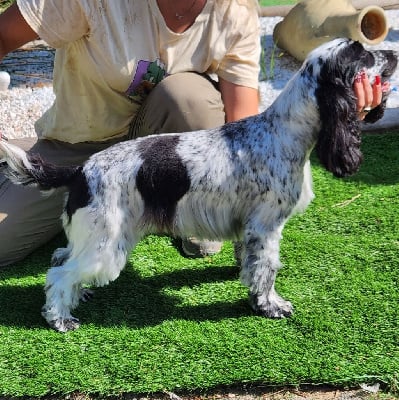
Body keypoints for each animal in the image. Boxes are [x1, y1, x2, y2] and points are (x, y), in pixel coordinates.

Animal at [0, 38, 396, 332]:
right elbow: (267, 270)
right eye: (363, 53)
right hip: (107, 243)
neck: (283, 132)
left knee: (62, 257)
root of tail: (81, 170)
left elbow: (250, 263)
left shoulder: (247, 226)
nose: (392, 53)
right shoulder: (266, 226)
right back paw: (60, 319)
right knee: (59, 274)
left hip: (93, 236)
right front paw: (270, 306)